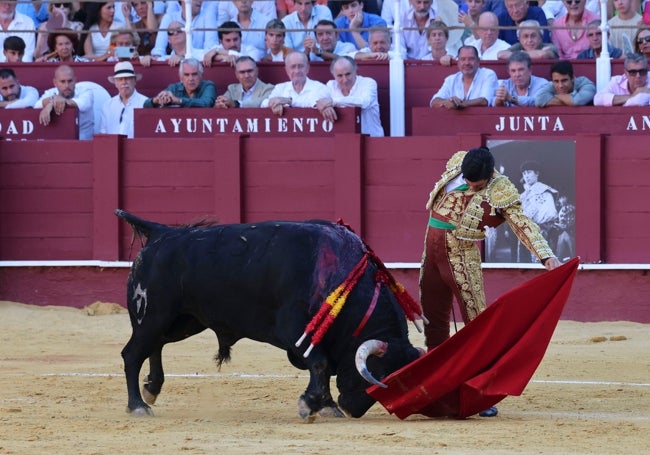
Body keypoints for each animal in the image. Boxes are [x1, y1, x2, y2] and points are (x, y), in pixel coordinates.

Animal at [115, 212, 420, 422]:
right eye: (379, 376)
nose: (352, 409)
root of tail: (161, 233)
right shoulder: (295, 330)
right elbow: (319, 363)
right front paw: (315, 405)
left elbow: (319, 365)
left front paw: (324, 405)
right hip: (153, 316)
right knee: (132, 354)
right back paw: (138, 406)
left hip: (183, 321)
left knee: (155, 345)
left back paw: (152, 388)